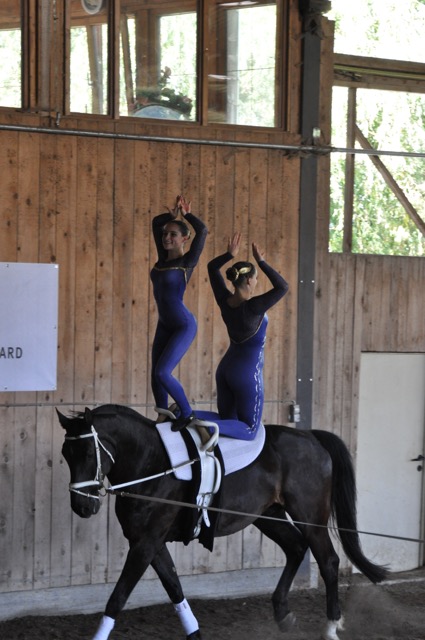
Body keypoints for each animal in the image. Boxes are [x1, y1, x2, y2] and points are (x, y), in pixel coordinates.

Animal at [58, 404, 386, 640]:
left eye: (87, 452)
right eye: (66, 454)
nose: (81, 506)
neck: (152, 463)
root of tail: (312, 437)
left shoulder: (145, 543)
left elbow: (118, 598)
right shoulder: (150, 542)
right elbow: (174, 587)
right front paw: (194, 633)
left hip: (309, 515)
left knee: (328, 560)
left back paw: (330, 627)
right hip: (268, 515)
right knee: (295, 548)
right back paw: (283, 614)